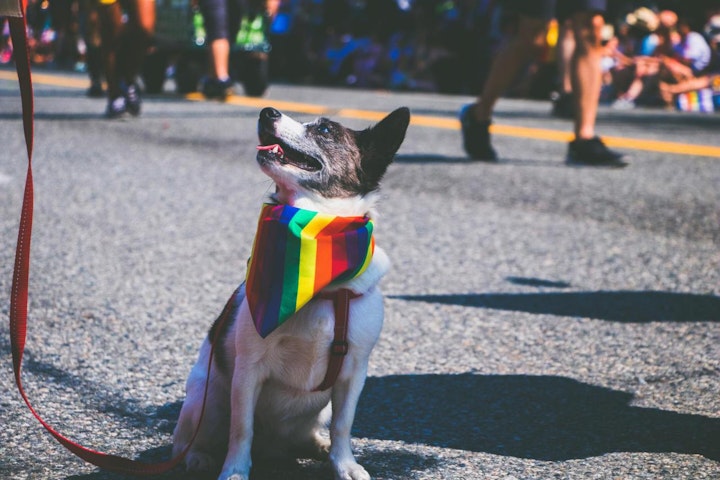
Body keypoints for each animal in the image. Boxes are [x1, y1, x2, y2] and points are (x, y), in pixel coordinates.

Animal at [172, 106, 410, 480]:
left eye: (325, 130)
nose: (266, 111)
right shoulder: (248, 372)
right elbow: (241, 428)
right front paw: (235, 470)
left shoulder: (353, 374)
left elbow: (343, 425)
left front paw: (344, 463)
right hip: (206, 400)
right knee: (188, 440)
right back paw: (198, 457)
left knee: (313, 431)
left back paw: (318, 446)